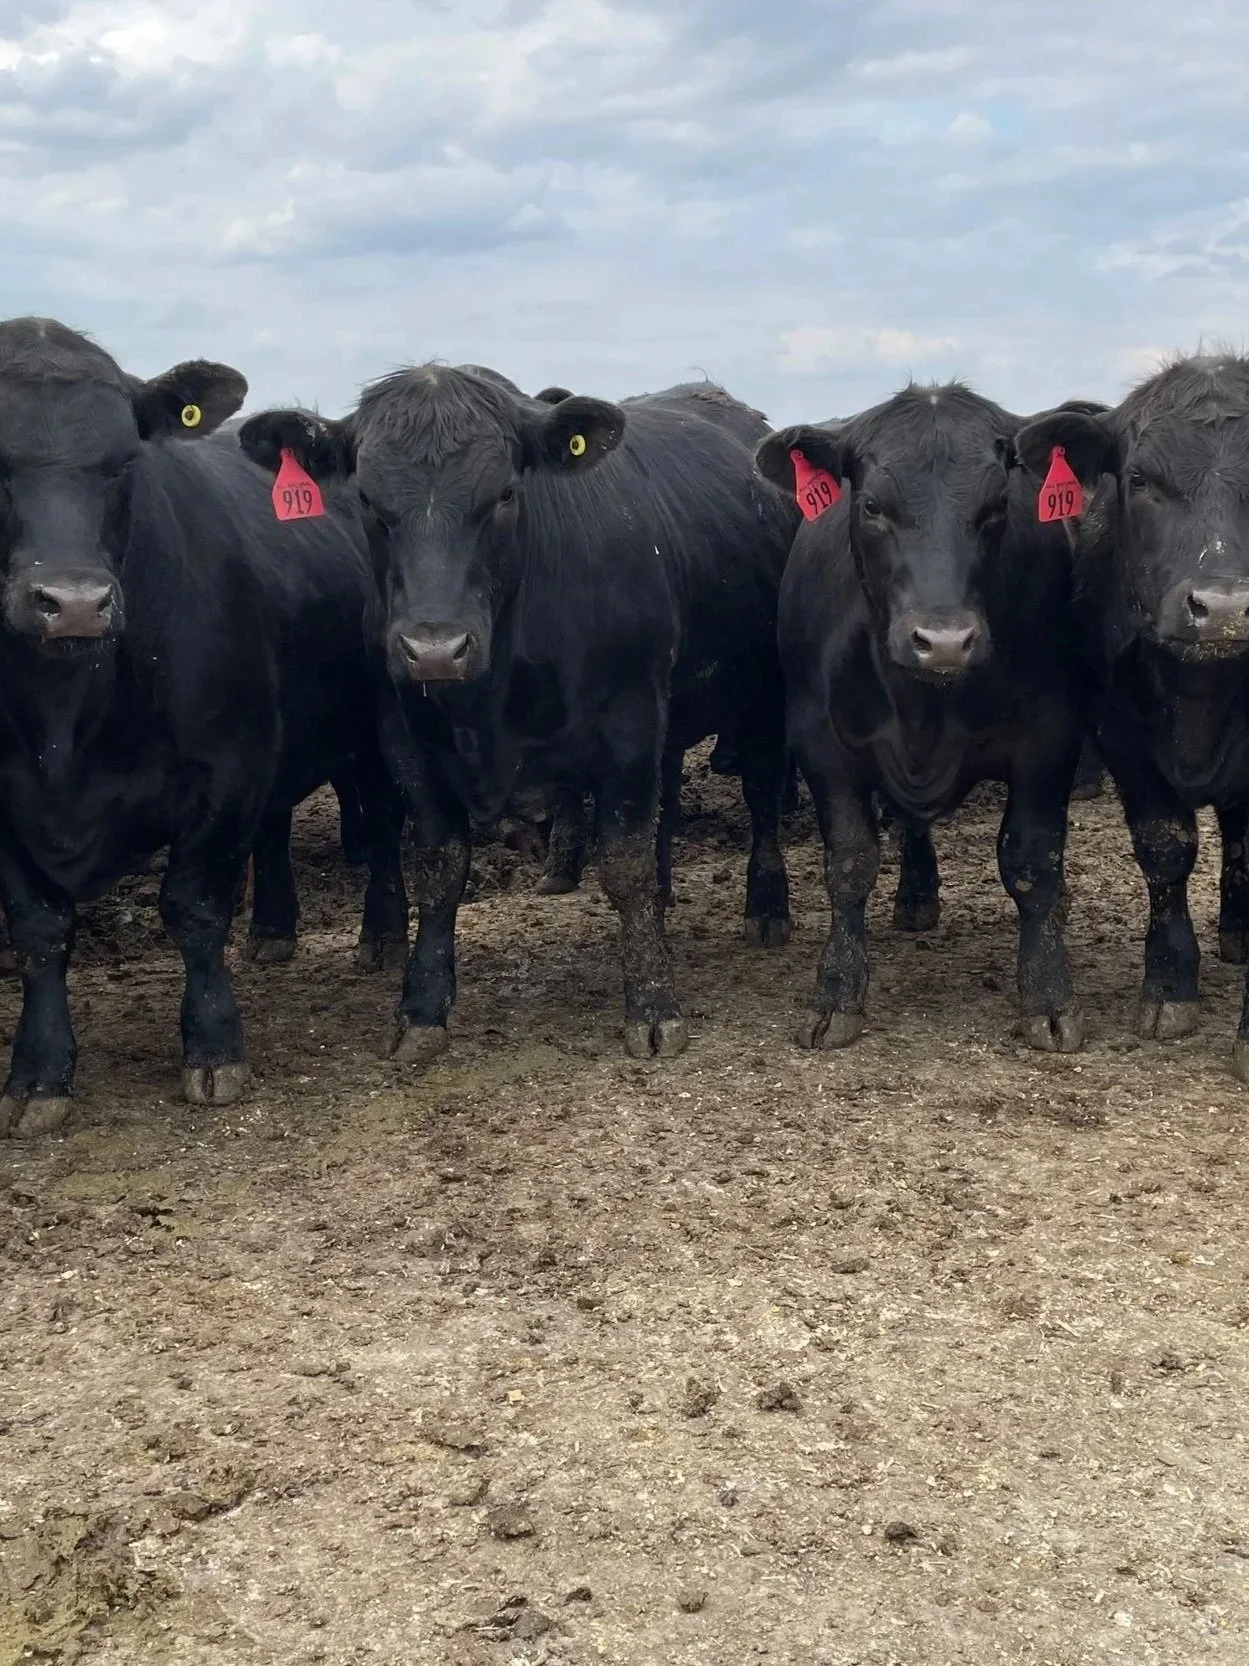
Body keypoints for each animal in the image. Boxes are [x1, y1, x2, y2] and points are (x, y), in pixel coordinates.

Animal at [0, 317, 407, 1138]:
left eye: (124, 462)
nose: (74, 602)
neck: (63, 720)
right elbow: (38, 928)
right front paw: (39, 1073)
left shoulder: (226, 769)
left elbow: (192, 907)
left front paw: (214, 1046)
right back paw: (274, 932)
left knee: (380, 822)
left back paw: (380, 933)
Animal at [239, 367, 799, 1064]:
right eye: (367, 499)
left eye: (505, 493)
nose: (434, 648)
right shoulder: (407, 743)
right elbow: (440, 869)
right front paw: (421, 1008)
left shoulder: (631, 727)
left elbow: (625, 864)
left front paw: (652, 1004)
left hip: (765, 697)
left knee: (762, 797)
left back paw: (767, 908)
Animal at [755, 382, 1091, 1054]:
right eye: (872, 505)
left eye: (997, 506)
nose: (943, 641)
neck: (923, 704)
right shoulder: (819, 741)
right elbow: (850, 863)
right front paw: (836, 994)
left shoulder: (1051, 736)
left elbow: (1032, 863)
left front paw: (1047, 995)